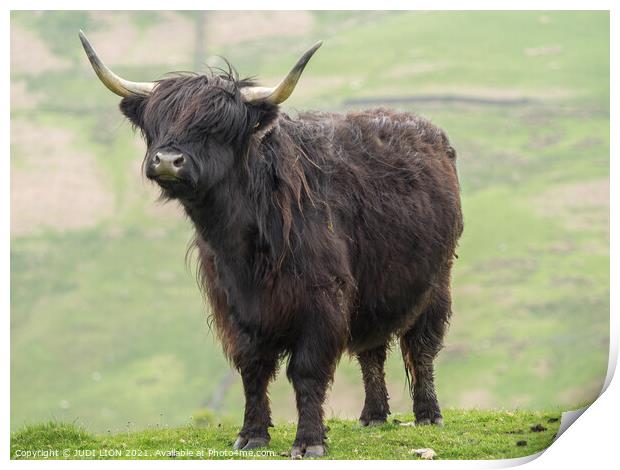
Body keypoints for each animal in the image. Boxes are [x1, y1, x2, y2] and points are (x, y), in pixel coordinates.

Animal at [80, 33, 462, 458]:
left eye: (218, 126)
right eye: (156, 122)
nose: (166, 160)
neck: (243, 244)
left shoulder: (322, 301)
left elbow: (306, 371)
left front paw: (309, 441)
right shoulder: (235, 307)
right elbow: (253, 369)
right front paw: (251, 435)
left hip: (435, 283)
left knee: (422, 346)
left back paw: (428, 414)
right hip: (372, 292)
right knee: (372, 350)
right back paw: (373, 416)